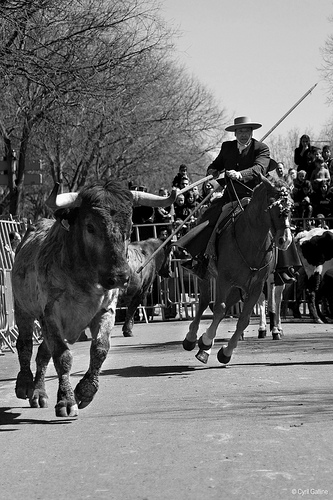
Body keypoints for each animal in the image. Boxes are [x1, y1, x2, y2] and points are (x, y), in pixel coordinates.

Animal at [11, 180, 175, 418]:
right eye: (90, 227)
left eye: (129, 227)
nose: (121, 276)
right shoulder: (51, 314)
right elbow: (63, 356)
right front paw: (66, 401)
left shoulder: (106, 310)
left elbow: (100, 348)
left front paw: (85, 391)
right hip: (23, 309)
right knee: (24, 346)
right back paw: (25, 385)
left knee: (42, 353)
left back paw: (39, 392)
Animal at [180, 176, 292, 364]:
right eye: (273, 204)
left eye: (290, 207)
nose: (285, 240)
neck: (251, 241)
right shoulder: (224, 280)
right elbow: (219, 309)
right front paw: (205, 342)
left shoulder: (255, 286)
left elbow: (244, 319)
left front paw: (225, 352)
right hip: (208, 277)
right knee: (204, 303)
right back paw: (191, 337)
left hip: (239, 287)